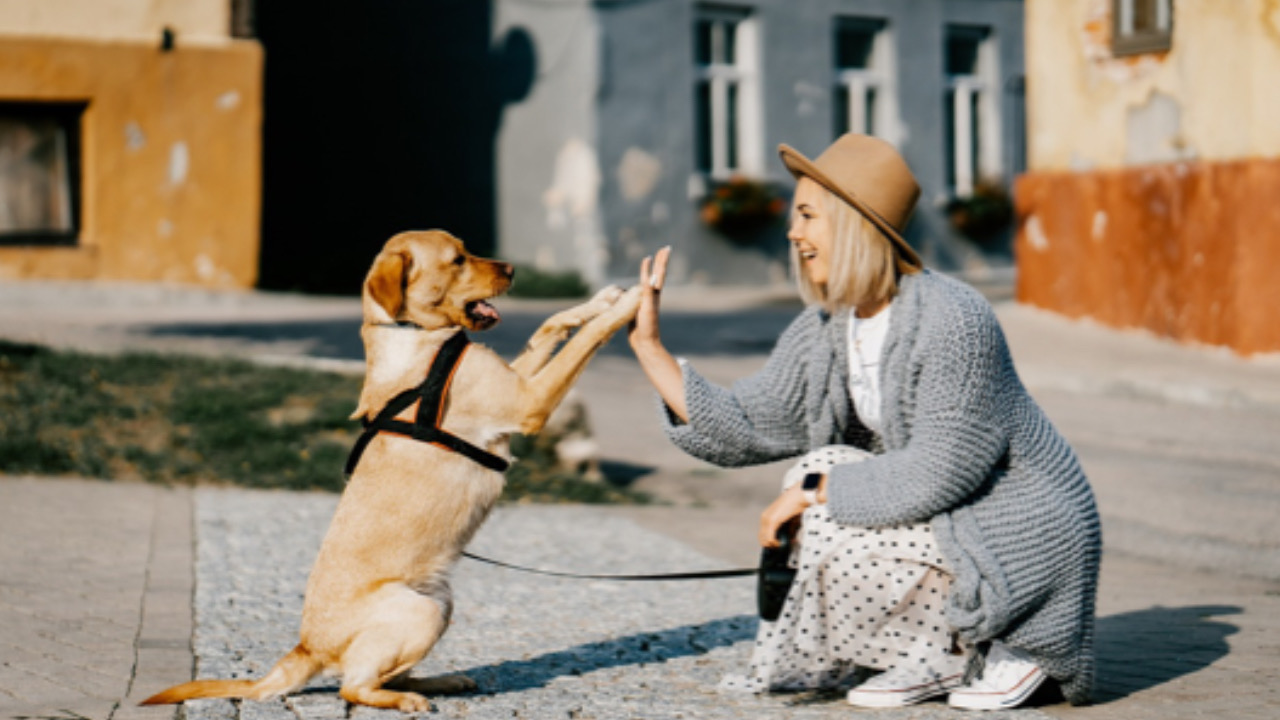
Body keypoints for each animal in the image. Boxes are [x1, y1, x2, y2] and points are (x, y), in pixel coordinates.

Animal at [142, 228, 640, 707]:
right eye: (457, 260)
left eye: (465, 250)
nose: (513, 269)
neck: (414, 334)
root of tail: (306, 648)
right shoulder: (528, 401)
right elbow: (586, 339)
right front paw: (630, 303)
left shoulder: (517, 382)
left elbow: (551, 324)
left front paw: (602, 299)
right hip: (419, 610)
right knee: (353, 686)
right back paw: (405, 700)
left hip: (440, 603)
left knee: (386, 675)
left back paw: (440, 682)